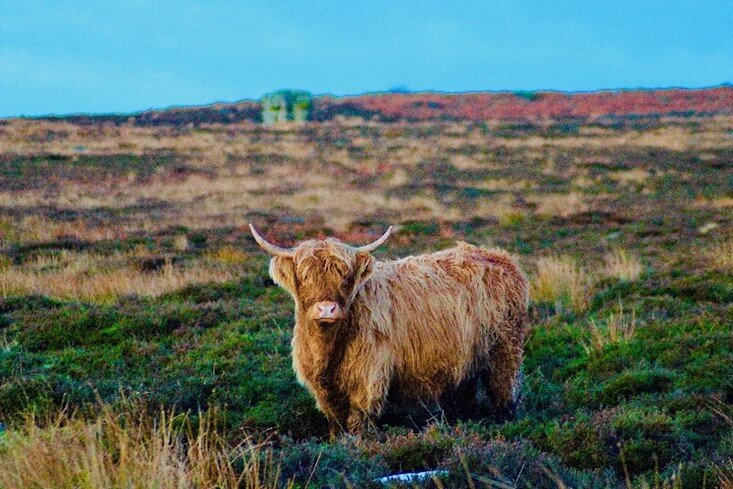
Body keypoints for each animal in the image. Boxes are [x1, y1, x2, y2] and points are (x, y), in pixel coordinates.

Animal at [250, 223, 528, 432]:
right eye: (305, 276)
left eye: (344, 275)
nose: (327, 309)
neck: (327, 347)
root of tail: (501, 257)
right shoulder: (323, 387)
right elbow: (336, 423)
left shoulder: (368, 376)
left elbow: (357, 421)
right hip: (467, 360)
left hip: (505, 351)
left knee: (504, 391)